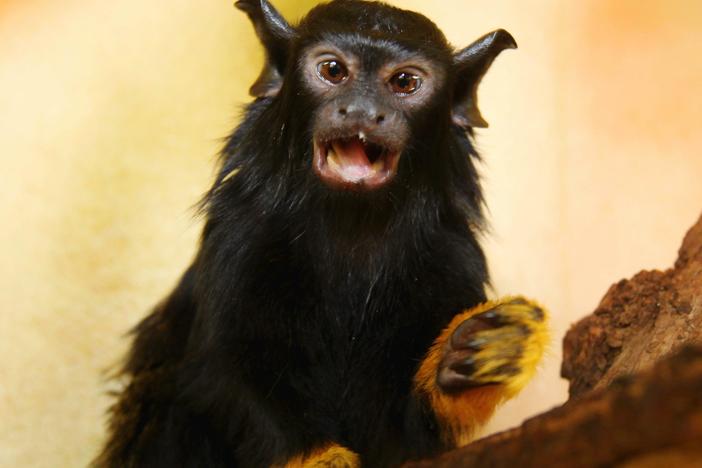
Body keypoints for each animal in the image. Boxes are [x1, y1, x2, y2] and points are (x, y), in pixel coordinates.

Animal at [96, 0, 552, 468]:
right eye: (334, 71)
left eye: (404, 82)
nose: (363, 111)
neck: (351, 225)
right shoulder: (239, 239)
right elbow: (223, 379)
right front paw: (316, 457)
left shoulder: (452, 256)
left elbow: (410, 431)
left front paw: (477, 357)